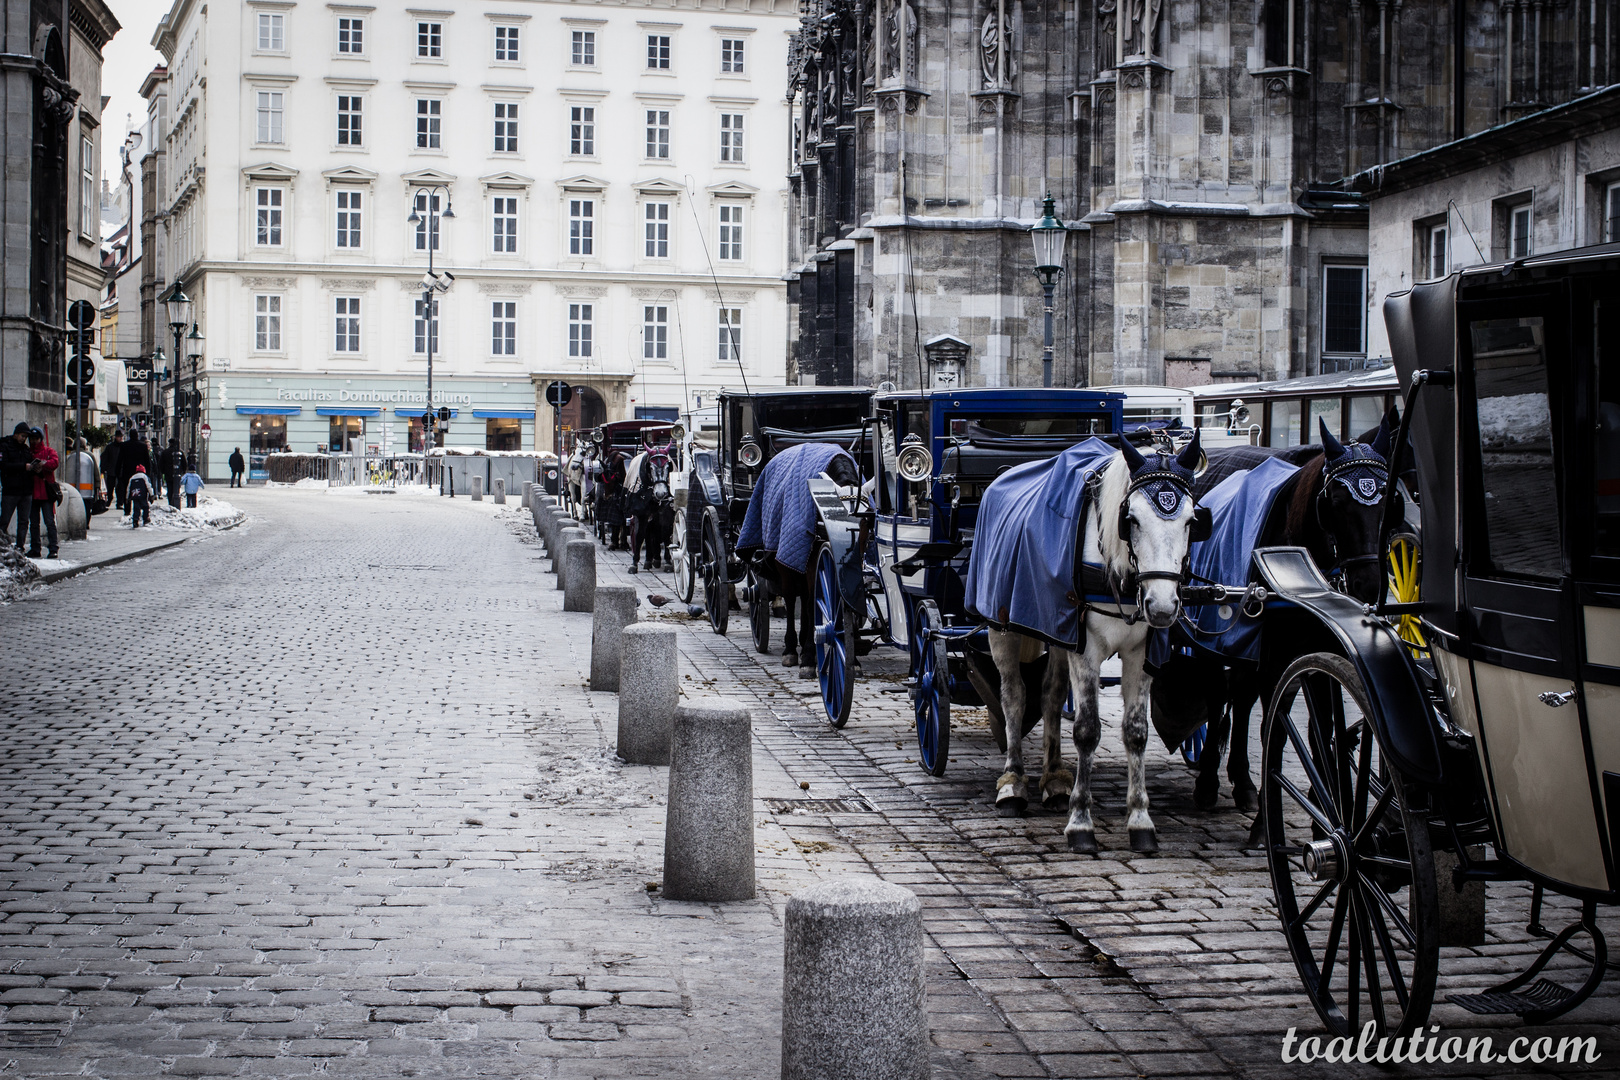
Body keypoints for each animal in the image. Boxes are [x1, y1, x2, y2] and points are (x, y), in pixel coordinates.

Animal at [984, 433, 1205, 854]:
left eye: (1191, 522)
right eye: (1131, 519)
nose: (1163, 606)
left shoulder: (1140, 653)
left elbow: (1136, 732)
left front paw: (1140, 820)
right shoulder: (1085, 651)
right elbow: (1087, 730)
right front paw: (1081, 822)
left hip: (1057, 630)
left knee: (1051, 695)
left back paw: (1054, 778)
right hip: (1002, 627)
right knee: (1014, 697)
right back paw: (1013, 783)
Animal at [1153, 417, 1393, 816]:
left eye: (1391, 501)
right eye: (1334, 500)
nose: (1368, 586)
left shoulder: (1315, 653)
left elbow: (1320, 728)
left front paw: (1323, 800)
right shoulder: (1273, 657)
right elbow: (1274, 730)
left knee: (1239, 696)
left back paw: (1241, 782)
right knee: (1220, 694)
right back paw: (1209, 781)